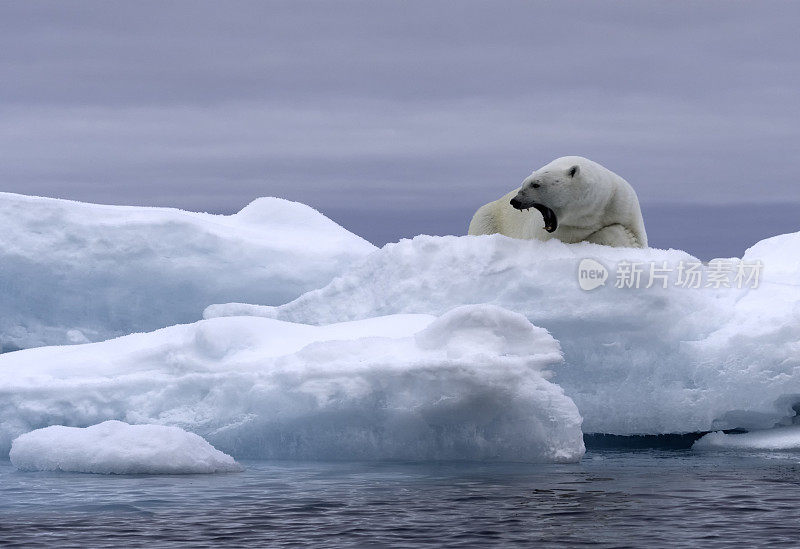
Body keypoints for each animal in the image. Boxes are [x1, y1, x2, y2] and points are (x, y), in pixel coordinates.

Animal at [466, 155, 648, 247]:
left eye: (536, 184)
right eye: (523, 182)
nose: (515, 201)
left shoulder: (621, 202)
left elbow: (638, 236)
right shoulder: (557, 231)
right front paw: (624, 236)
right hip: (486, 218)